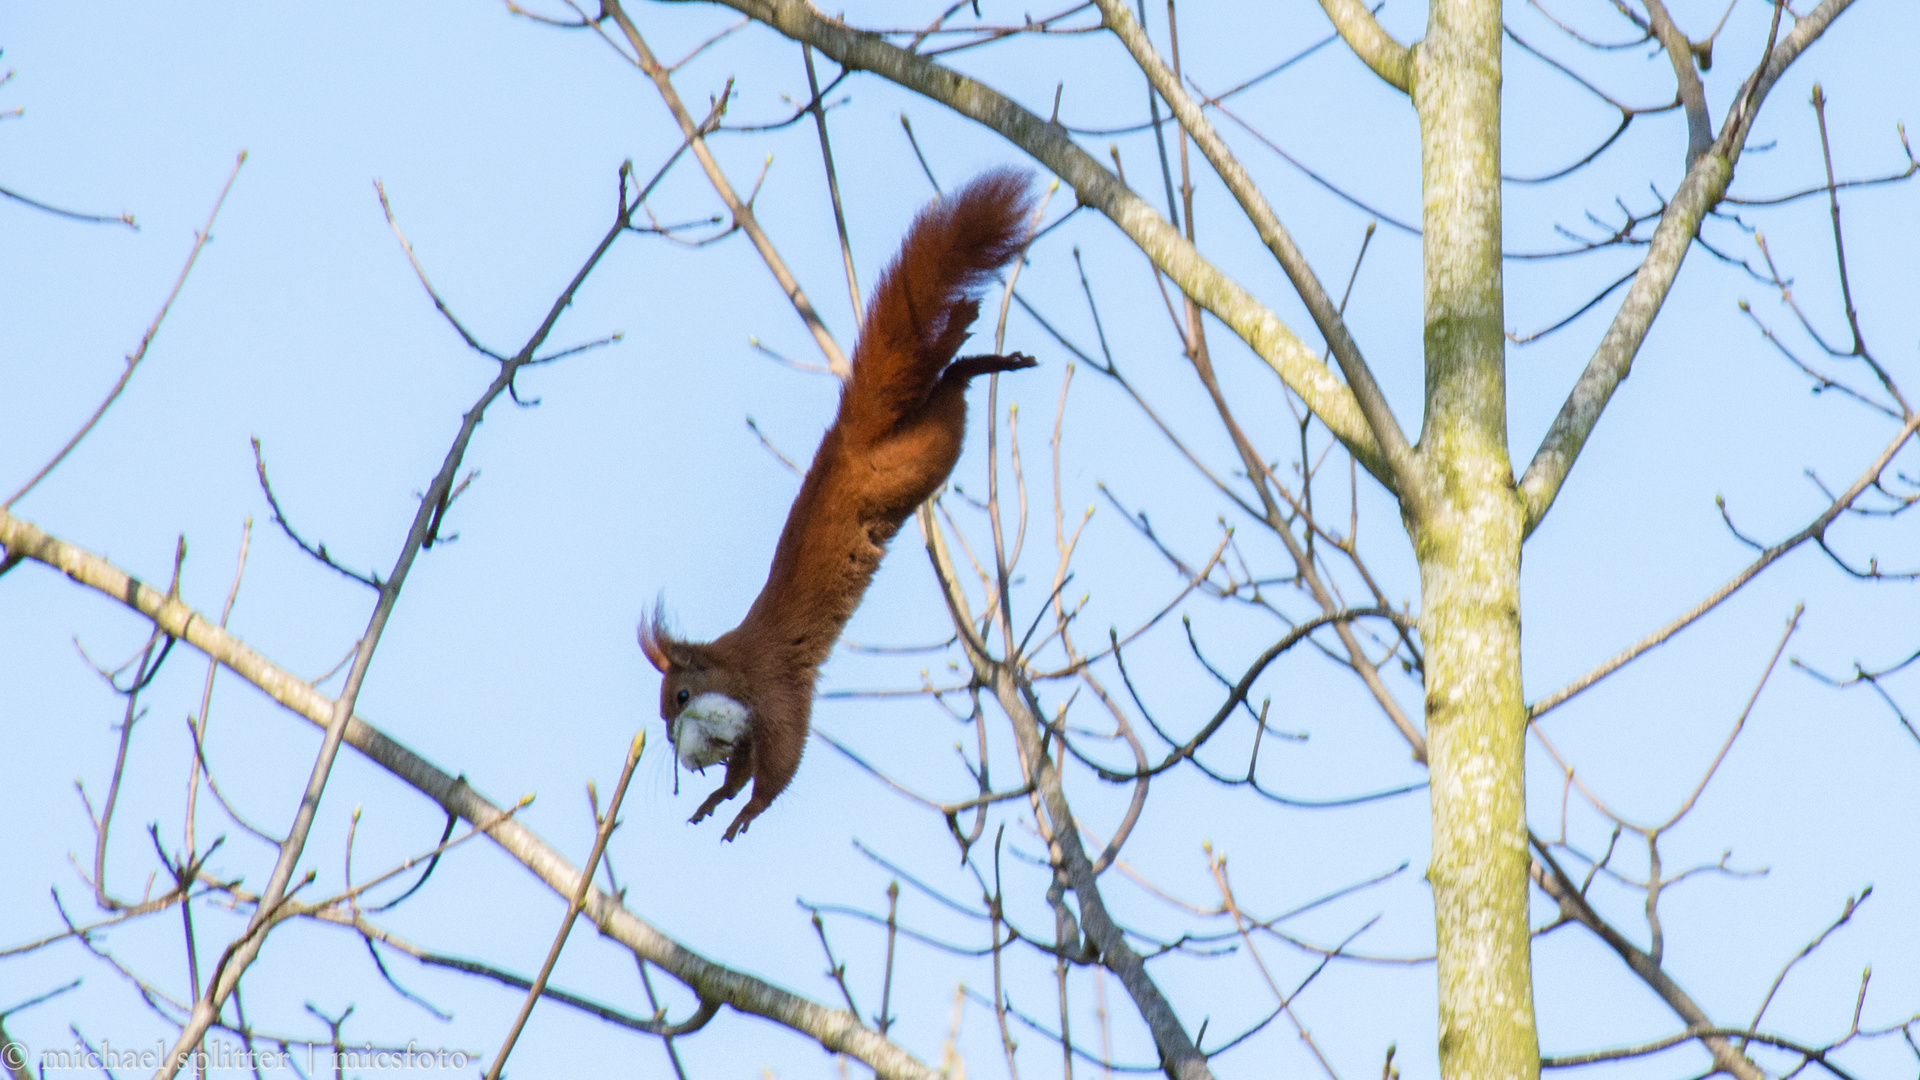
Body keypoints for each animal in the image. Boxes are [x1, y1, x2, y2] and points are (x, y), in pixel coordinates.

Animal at [641, 170, 1036, 841]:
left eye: (682, 699)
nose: (672, 742)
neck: (734, 664)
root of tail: (849, 435)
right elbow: (743, 767)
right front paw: (714, 799)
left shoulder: (777, 694)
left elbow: (780, 763)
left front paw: (743, 811)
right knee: (944, 389)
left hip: (920, 457)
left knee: (949, 394)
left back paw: (974, 345)